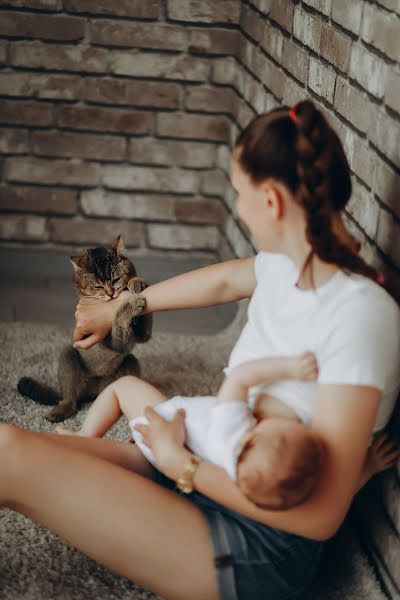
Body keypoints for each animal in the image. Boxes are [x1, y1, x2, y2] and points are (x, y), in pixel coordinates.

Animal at [16, 234, 152, 422]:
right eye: (98, 286)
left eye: (116, 279)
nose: (111, 294)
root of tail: (92, 394)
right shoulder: (115, 342)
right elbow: (118, 319)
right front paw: (129, 304)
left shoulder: (142, 335)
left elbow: (145, 324)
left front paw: (138, 281)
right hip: (68, 355)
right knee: (70, 401)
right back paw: (60, 411)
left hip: (130, 363)